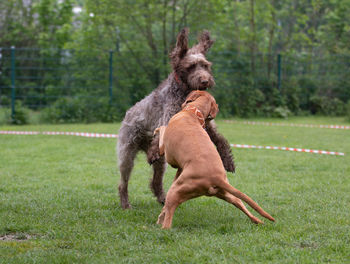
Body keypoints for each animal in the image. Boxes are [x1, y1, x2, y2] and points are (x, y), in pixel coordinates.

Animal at [117, 27, 235, 209]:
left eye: (205, 65)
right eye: (191, 66)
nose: (205, 81)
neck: (186, 92)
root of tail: (128, 113)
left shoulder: (208, 126)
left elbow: (220, 140)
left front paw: (228, 161)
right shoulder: (167, 118)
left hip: (160, 161)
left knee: (155, 181)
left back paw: (162, 198)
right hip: (127, 154)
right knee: (123, 182)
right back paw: (125, 203)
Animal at [154, 90, 274, 229]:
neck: (193, 113)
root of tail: (216, 178)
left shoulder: (167, 154)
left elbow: (162, 129)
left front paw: (156, 130)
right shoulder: (179, 168)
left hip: (175, 192)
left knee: (168, 220)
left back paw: (161, 226)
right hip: (224, 193)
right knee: (238, 201)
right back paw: (257, 220)